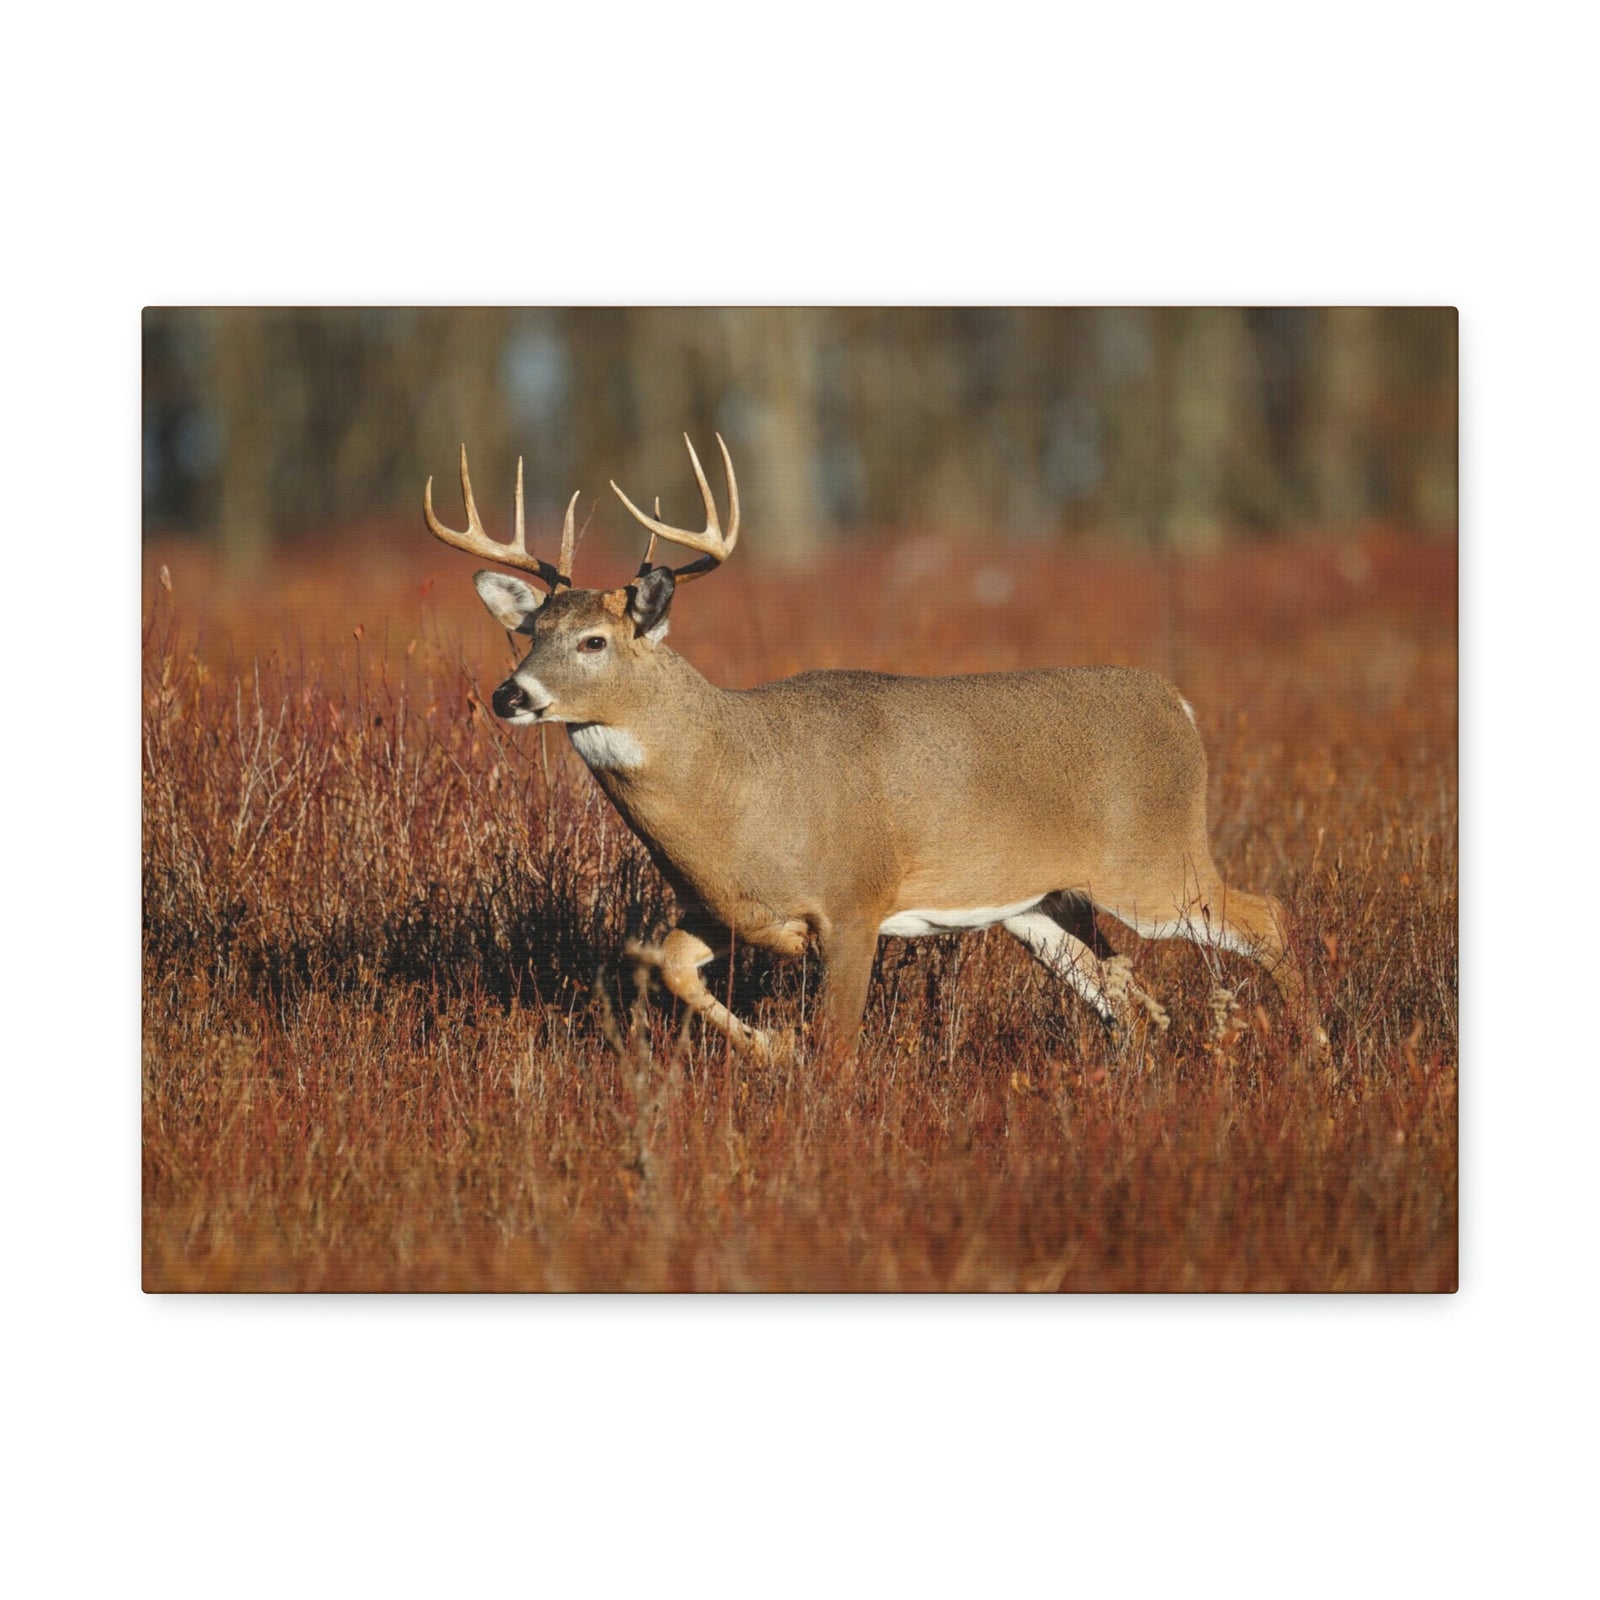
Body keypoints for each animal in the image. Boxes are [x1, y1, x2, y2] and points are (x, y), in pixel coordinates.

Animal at [424, 435, 1322, 1067]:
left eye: (594, 640)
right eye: (529, 632)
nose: (509, 696)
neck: (735, 781)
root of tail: (1178, 703)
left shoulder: (854, 900)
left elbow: (839, 1048)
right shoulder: (723, 908)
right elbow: (665, 964)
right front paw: (772, 1048)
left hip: (1154, 865)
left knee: (1265, 916)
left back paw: (1315, 1051)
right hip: (1039, 903)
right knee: (1119, 986)